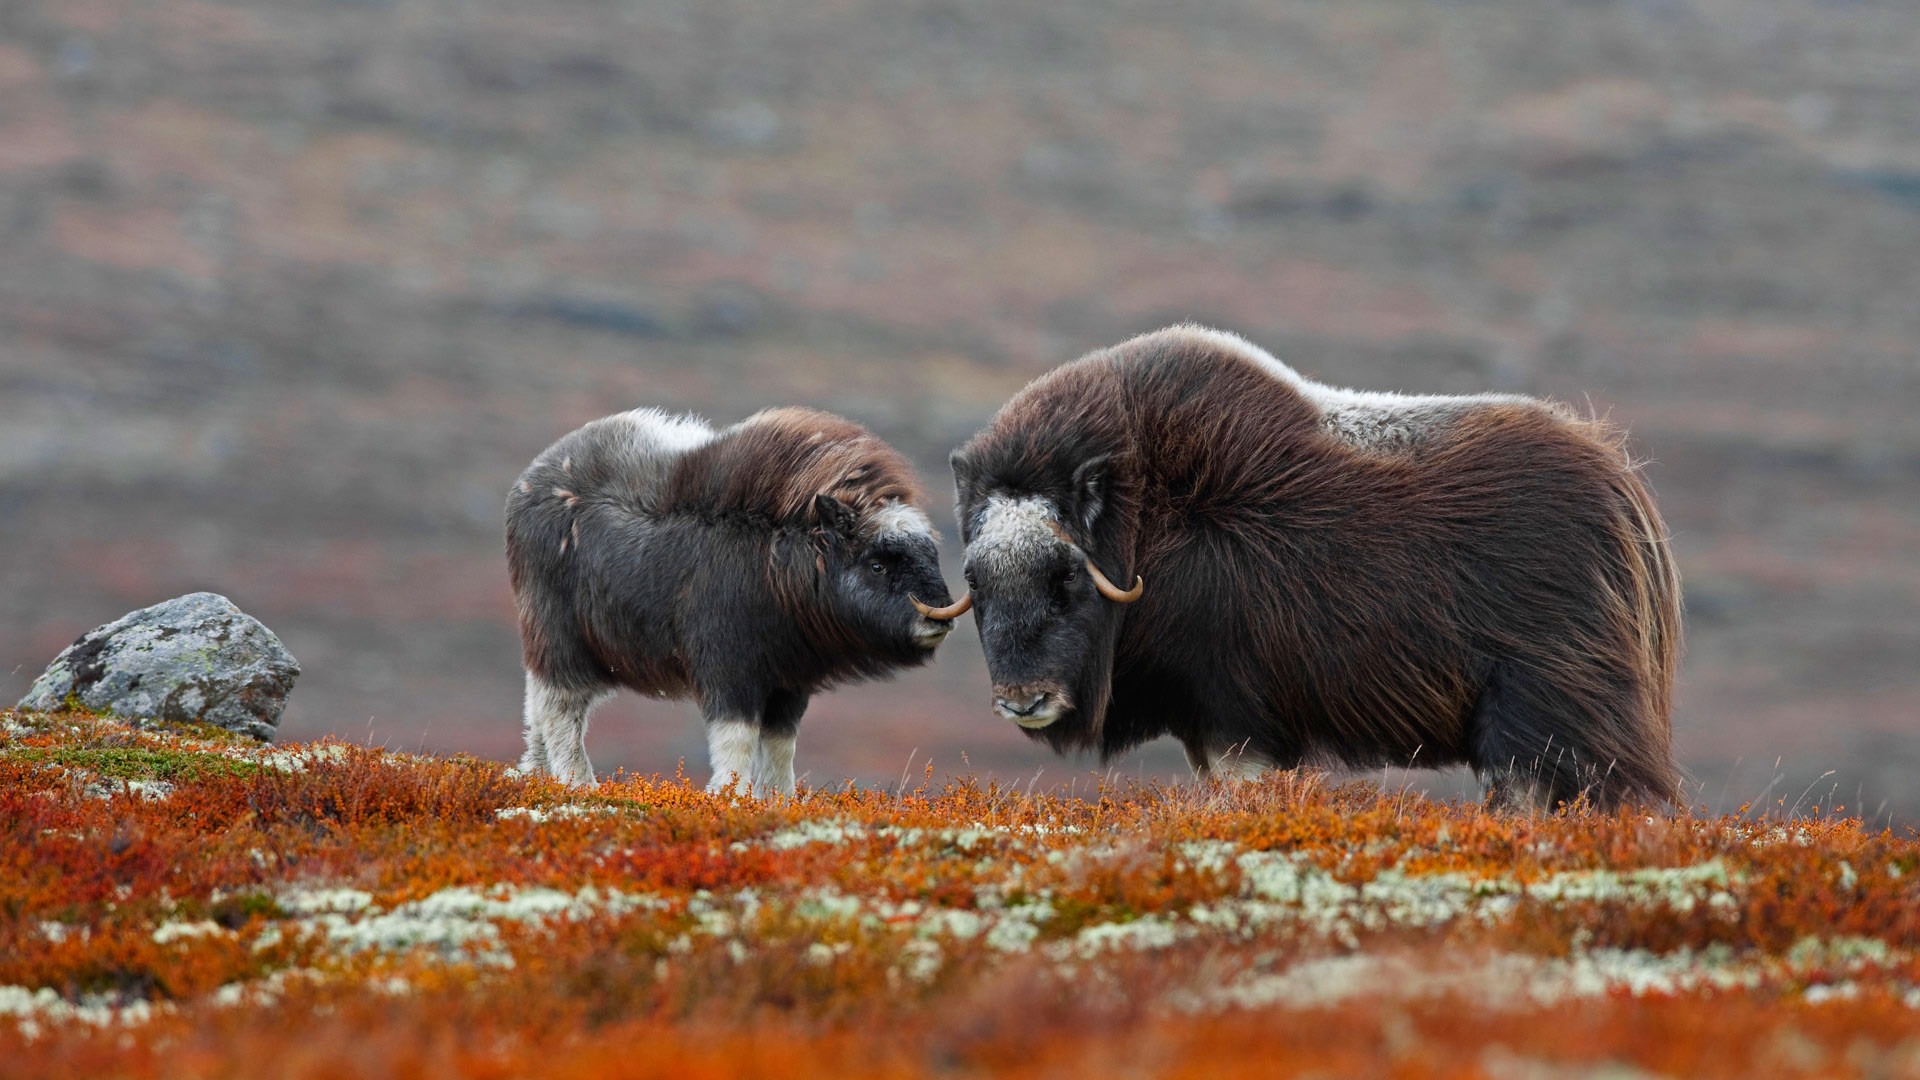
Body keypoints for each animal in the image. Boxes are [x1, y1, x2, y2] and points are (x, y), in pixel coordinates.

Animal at [506, 403, 967, 791]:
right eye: (877, 564)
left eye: (928, 552)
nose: (939, 618)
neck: (782, 557)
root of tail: (530, 480)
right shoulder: (730, 669)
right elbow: (737, 739)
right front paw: (731, 796)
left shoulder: (789, 681)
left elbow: (781, 745)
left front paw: (779, 799)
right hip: (559, 639)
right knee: (560, 707)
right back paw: (578, 784)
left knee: (538, 706)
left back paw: (536, 775)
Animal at [948, 322, 1681, 810]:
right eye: (975, 581)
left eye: (1065, 577)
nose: (1023, 701)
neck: (1148, 523)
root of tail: (1621, 489)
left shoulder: (1235, 715)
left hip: (1541, 715)